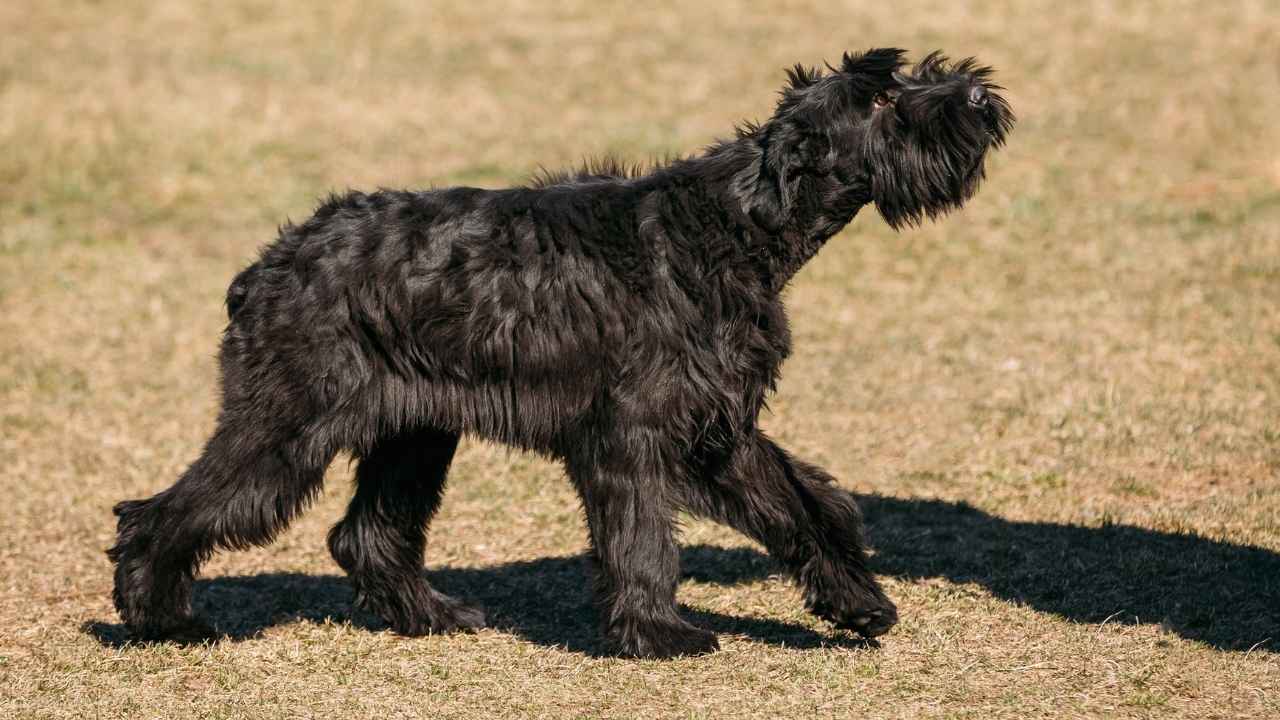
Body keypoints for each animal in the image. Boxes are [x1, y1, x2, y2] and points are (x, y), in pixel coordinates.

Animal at [107, 49, 1008, 655]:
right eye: (884, 97)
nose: (975, 91)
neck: (731, 227)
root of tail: (268, 264)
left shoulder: (717, 426)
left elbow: (805, 506)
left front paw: (858, 603)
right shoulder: (634, 433)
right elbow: (643, 534)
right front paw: (659, 632)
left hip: (413, 435)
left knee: (366, 534)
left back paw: (433, 617)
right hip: (287, 427)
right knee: (166, 512)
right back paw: (163, 620)